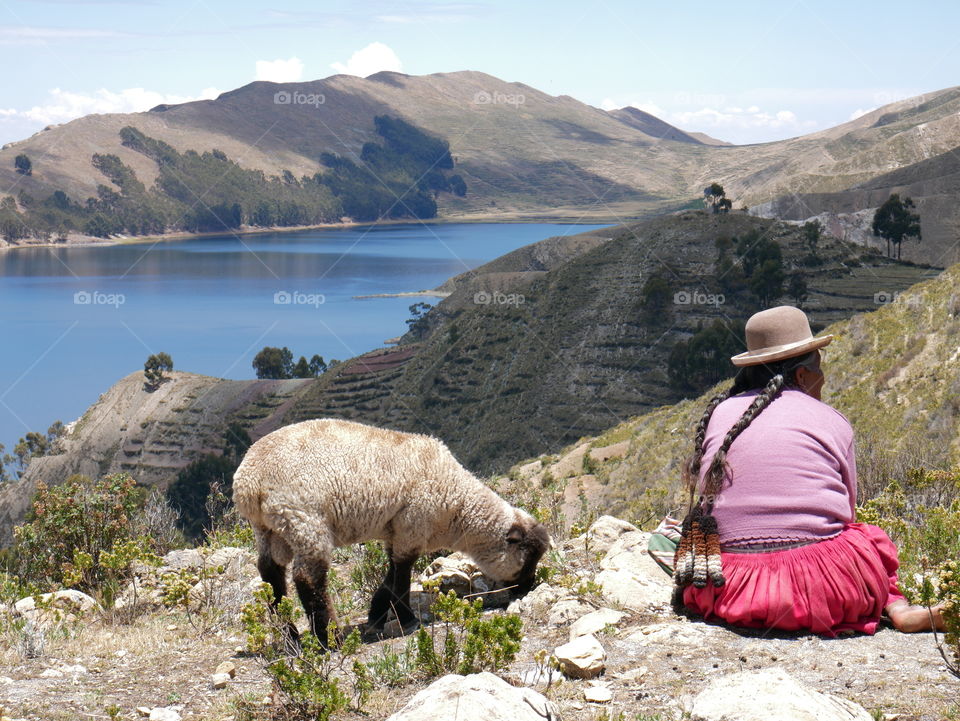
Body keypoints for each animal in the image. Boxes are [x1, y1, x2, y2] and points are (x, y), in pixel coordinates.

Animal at [231, 416, 548, 640]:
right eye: (528, 558)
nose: (527, 588)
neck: (458, 505)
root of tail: (249, 481)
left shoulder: (395, 530)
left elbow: (391, 573)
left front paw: (377, 614)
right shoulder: (413, 523)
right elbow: (403, 575)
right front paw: (407, 619)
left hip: (269, 528)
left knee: (270, 572)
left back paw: (289, 635)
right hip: (304, 520)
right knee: (307, 578)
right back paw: (328, 636)